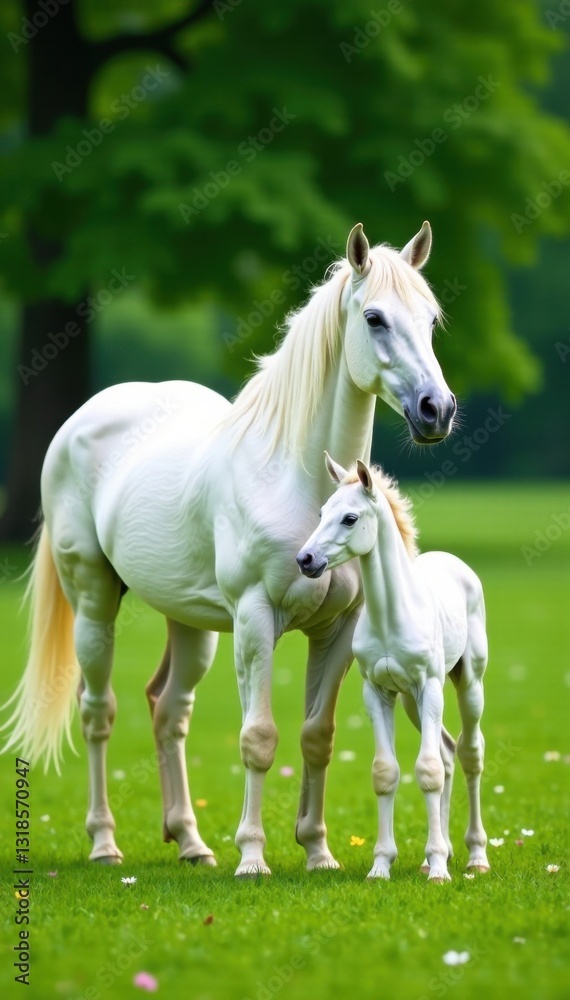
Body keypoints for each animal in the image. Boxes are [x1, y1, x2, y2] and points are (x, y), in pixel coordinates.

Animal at [2, 221, 456, 877]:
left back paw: (190, 841)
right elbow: (258, 736)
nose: (436, 410)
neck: (295, 480)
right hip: (93, 605)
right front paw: (253, 856)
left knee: (168, 709)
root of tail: (81, 421)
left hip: (190, 626)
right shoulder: (254, 619)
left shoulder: (336, 631)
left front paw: (317, 851)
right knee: (98, 711)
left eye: (431, 318)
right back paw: (105, 843)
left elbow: (316, 736)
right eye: (374, 317)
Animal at [296, 453, 489, 882]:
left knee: (469, 753)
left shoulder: (430, 686)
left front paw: (438, 871)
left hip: (466, 684)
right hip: (411, 703)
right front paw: (382, 865)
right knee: (448, 753)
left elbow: (427, 770)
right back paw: (439, 854)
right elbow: (386, 773)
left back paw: (474, 856)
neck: (392, 614)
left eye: (350, 518)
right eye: (320, 513)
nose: (305, 560)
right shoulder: (377, 691)